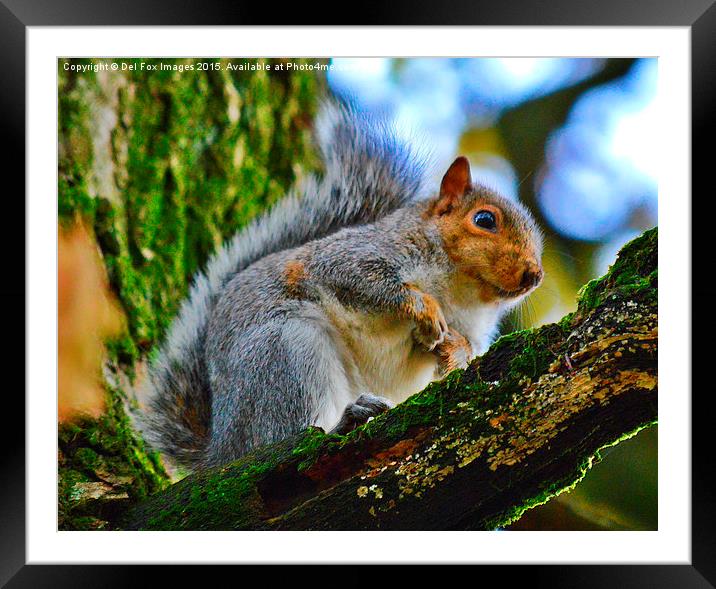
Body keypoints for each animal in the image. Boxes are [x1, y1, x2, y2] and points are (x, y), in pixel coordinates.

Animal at [138, 101, 544, 468]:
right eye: (484, 220)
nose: (534, 275)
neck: (460, 292)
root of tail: (223, 450)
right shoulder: (353, 257)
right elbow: (370, 282)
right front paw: (424, 310)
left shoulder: (475, 326)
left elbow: (466, 346)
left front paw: (454, 351)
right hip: (286, 351)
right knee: (283, 436)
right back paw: (341, 423)